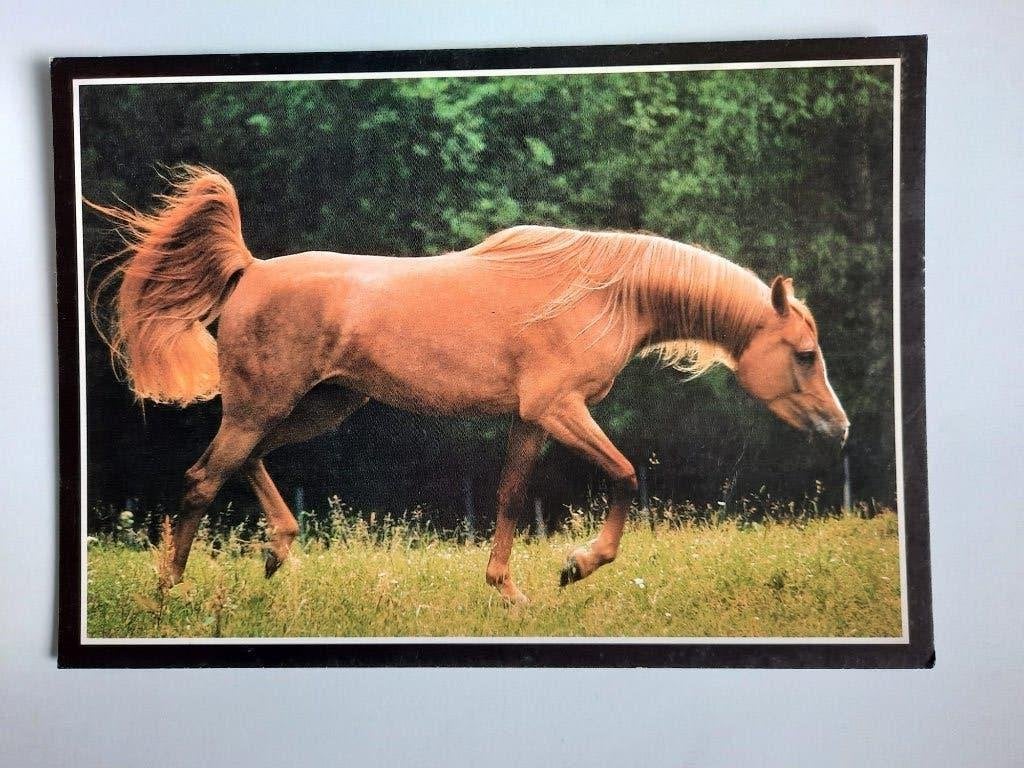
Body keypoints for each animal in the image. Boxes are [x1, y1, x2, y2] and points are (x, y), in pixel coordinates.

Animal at [87, 166, 849, 604]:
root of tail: (249, 268)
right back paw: (170, 593)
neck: (608, 293)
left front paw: (508, 591)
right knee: (202, 479)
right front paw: (577, 565)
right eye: (807, 353)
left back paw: (277, 550)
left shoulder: (531, 419)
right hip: (261, 405)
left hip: (315, 407)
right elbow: (626, 475)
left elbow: (510, 497)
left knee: (239, 464)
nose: (838, 427)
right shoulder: (560, 409)